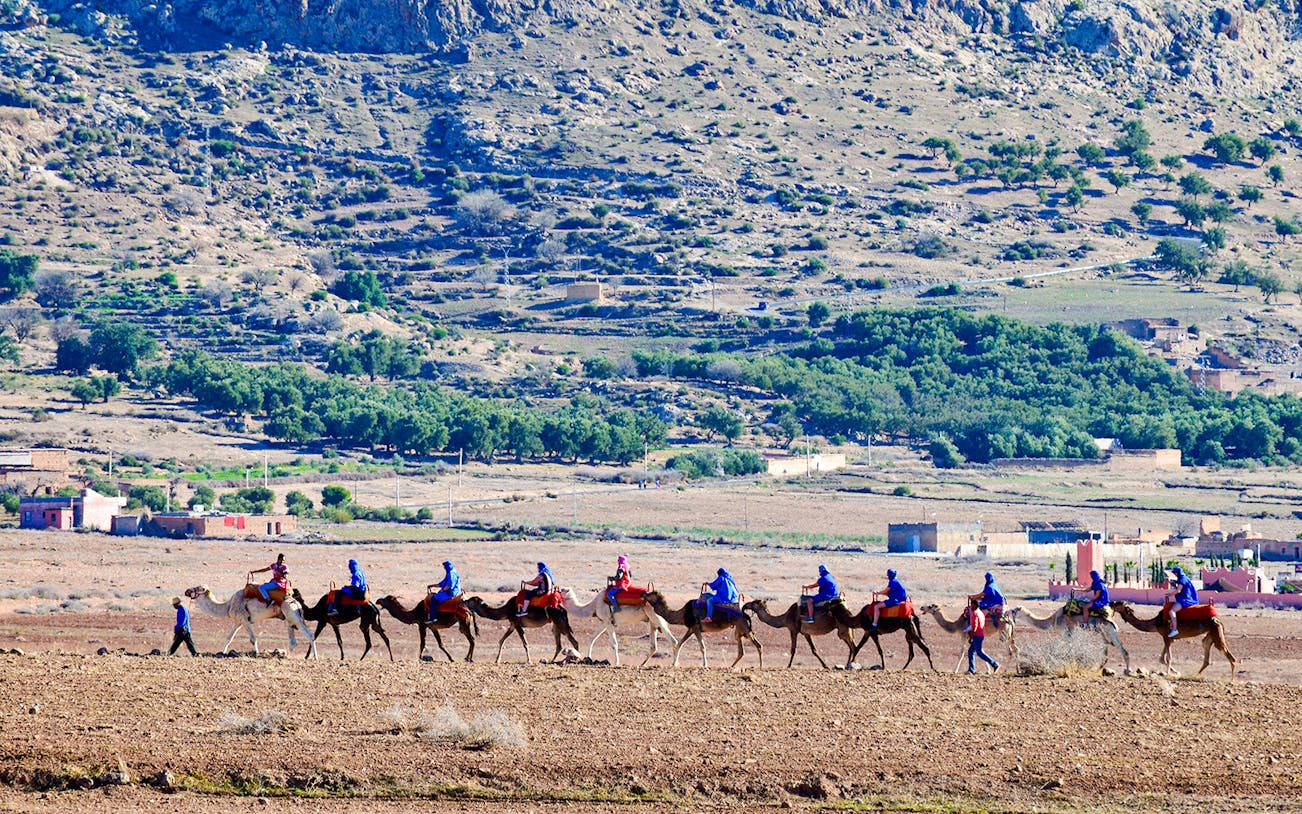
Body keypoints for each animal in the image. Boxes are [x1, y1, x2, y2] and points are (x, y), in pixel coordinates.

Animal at [183, 585, 317, 659]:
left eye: (199, 588)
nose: (187, 590)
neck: (228, 605)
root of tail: (296, 603)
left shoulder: (245, 619)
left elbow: (253, 638)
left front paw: (257, 654)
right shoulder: (238, 622)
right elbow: (228, 637)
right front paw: (221, 652)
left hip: (294, 616)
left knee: (310, 635)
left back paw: (314, 658)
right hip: (289, 620)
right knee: (293, 641)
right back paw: (284, 656)